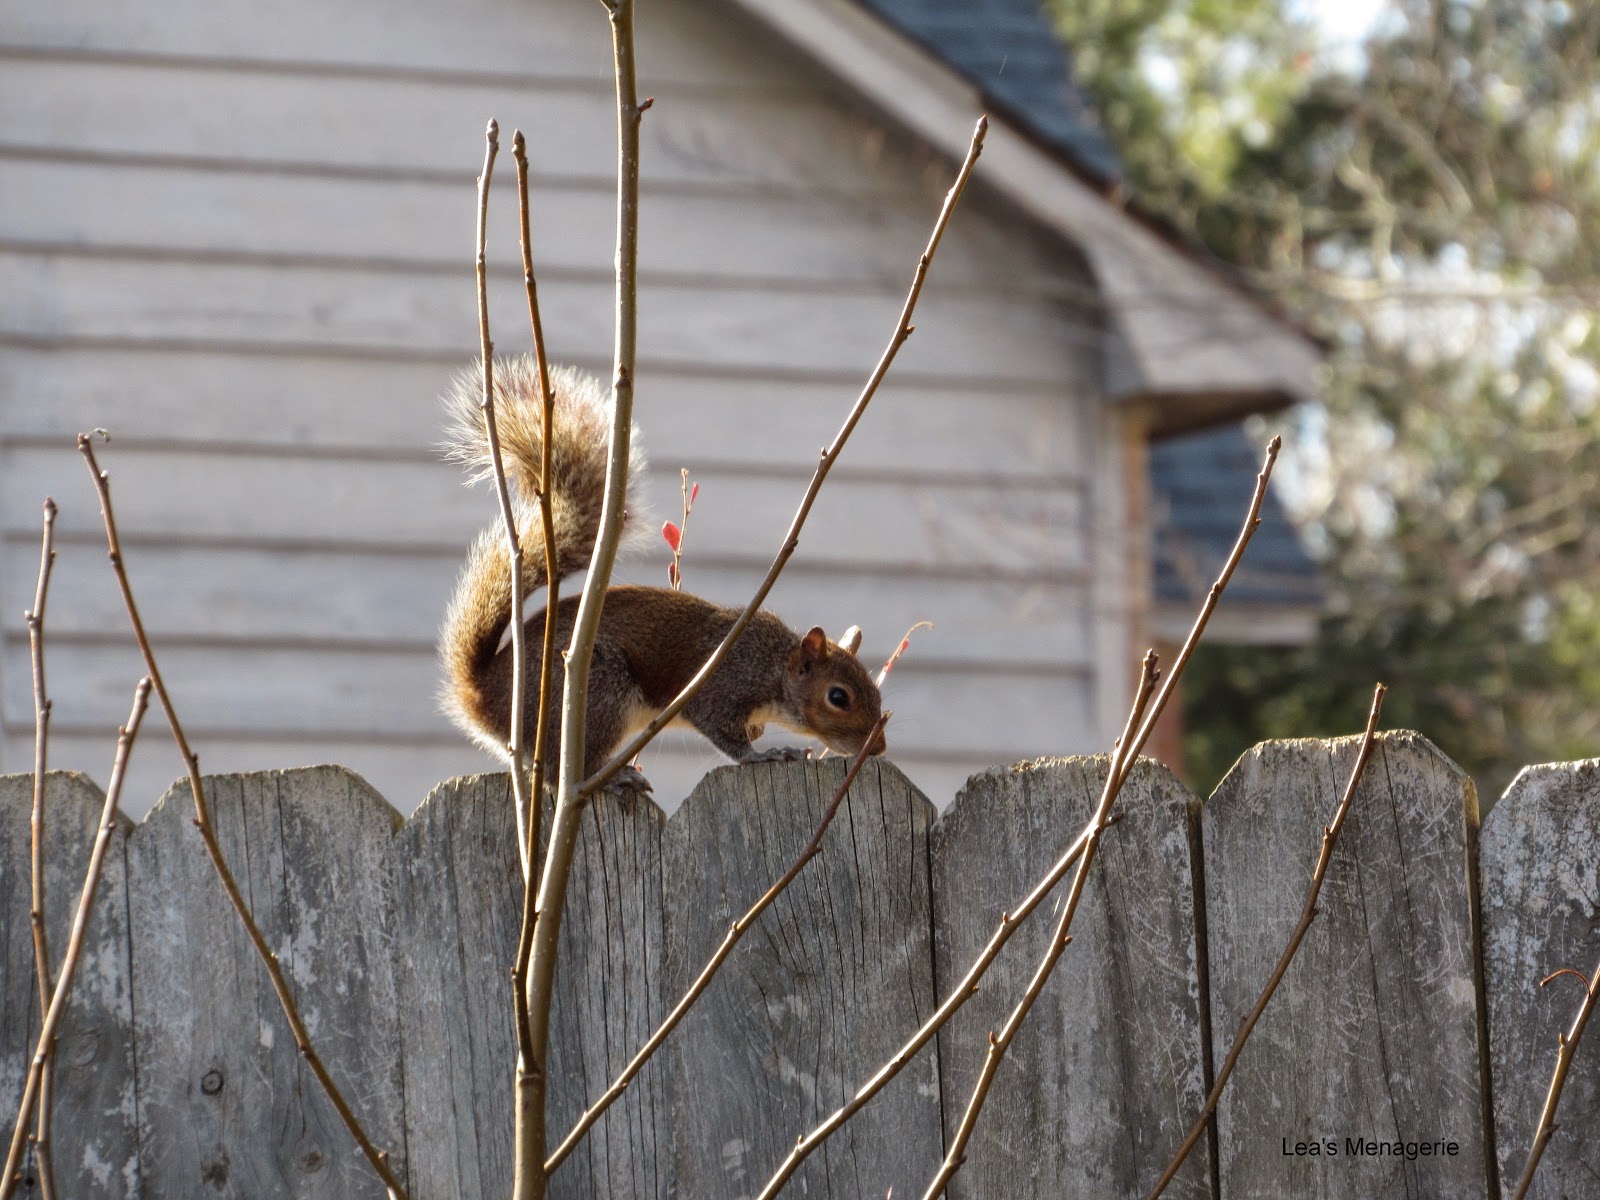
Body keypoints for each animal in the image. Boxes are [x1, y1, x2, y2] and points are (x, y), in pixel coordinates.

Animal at [439, 355, 889, 783]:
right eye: (838, 697)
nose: (879, 748)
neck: (773, 664)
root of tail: (486, 696)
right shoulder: (722, 687)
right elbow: (725, 734)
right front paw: (765, 754)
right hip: (598, 693)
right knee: (554, 773)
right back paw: (614, 778)